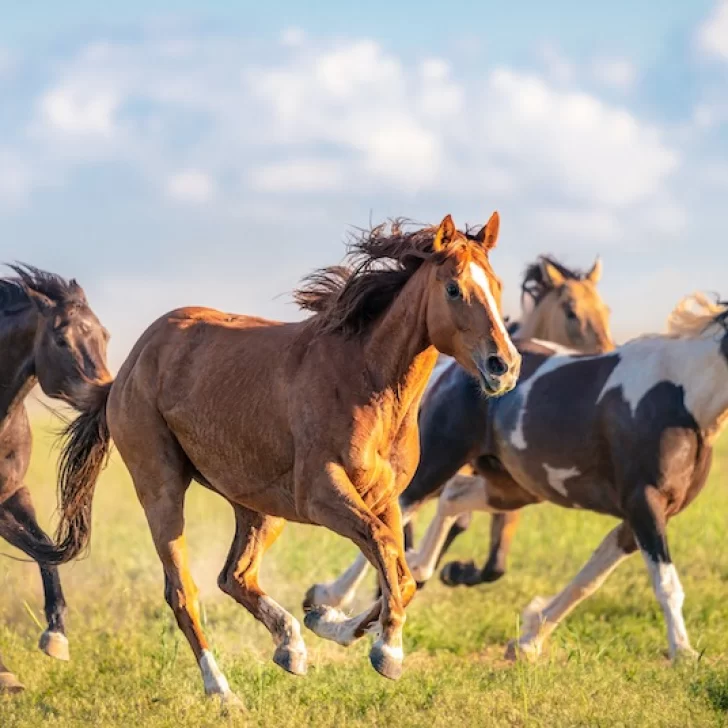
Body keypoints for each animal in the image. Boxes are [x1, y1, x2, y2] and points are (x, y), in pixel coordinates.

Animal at [0, 266, 110, 692]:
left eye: (104, 335)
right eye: (62, 339)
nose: (106, 392)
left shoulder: (14, 493)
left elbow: (44, 547)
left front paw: (55, 639)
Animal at [34, 213, 520, 704]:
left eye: (497, 285)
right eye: (454, 288)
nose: (504, 365)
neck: (366, 383)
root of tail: (130, 366)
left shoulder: (385, 498)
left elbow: (400, 574)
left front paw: (327, 620)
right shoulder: (321, 495)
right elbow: (385, 551)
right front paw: (388, 652)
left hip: (260, 507)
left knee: (235, 575)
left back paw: (290, 646)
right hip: (162, 489)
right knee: (182, 591)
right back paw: (222, 691)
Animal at [304, 253, 612, 612]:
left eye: (605, 310)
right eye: (571, 312)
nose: (608, 351)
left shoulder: (505, 484)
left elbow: (494, 561)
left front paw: (454, 571)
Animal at [404, 292, 728, 664]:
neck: (684, 398)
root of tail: (452, 368)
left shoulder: (640, 517)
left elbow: (588, 580)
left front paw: (528, 640)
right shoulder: (645, 504)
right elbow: (666, 584)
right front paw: (683, 652)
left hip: (513, 488)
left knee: (453, 498)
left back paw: (422, 569)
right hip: (441, 459)